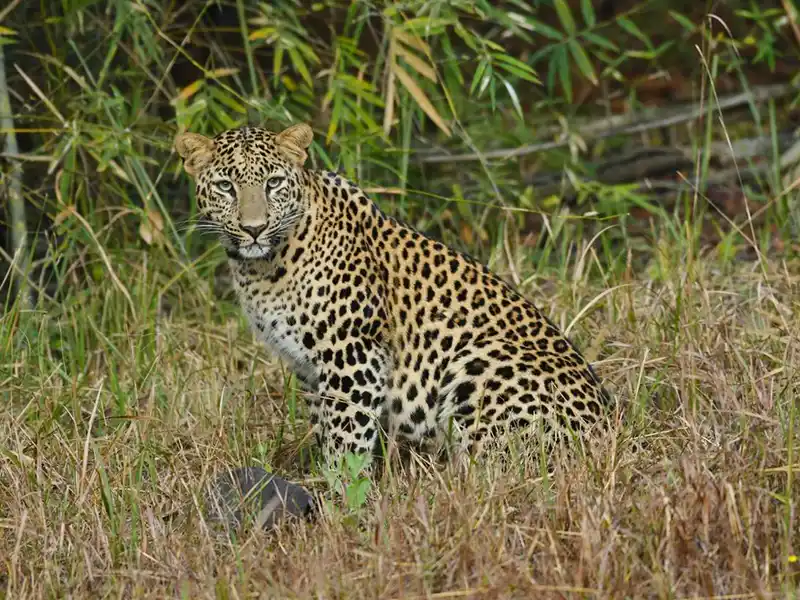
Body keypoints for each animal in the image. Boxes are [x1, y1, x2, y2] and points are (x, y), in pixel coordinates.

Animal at [175, 123, 612, 471]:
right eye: (226, 186)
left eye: (274, 184)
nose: (254, 228)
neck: (261, 268)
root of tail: (607, 429)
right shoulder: (308, 366)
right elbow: (324, 425)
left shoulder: (353, 356)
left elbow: (345, 437)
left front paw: (339, 496)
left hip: (480, 362)